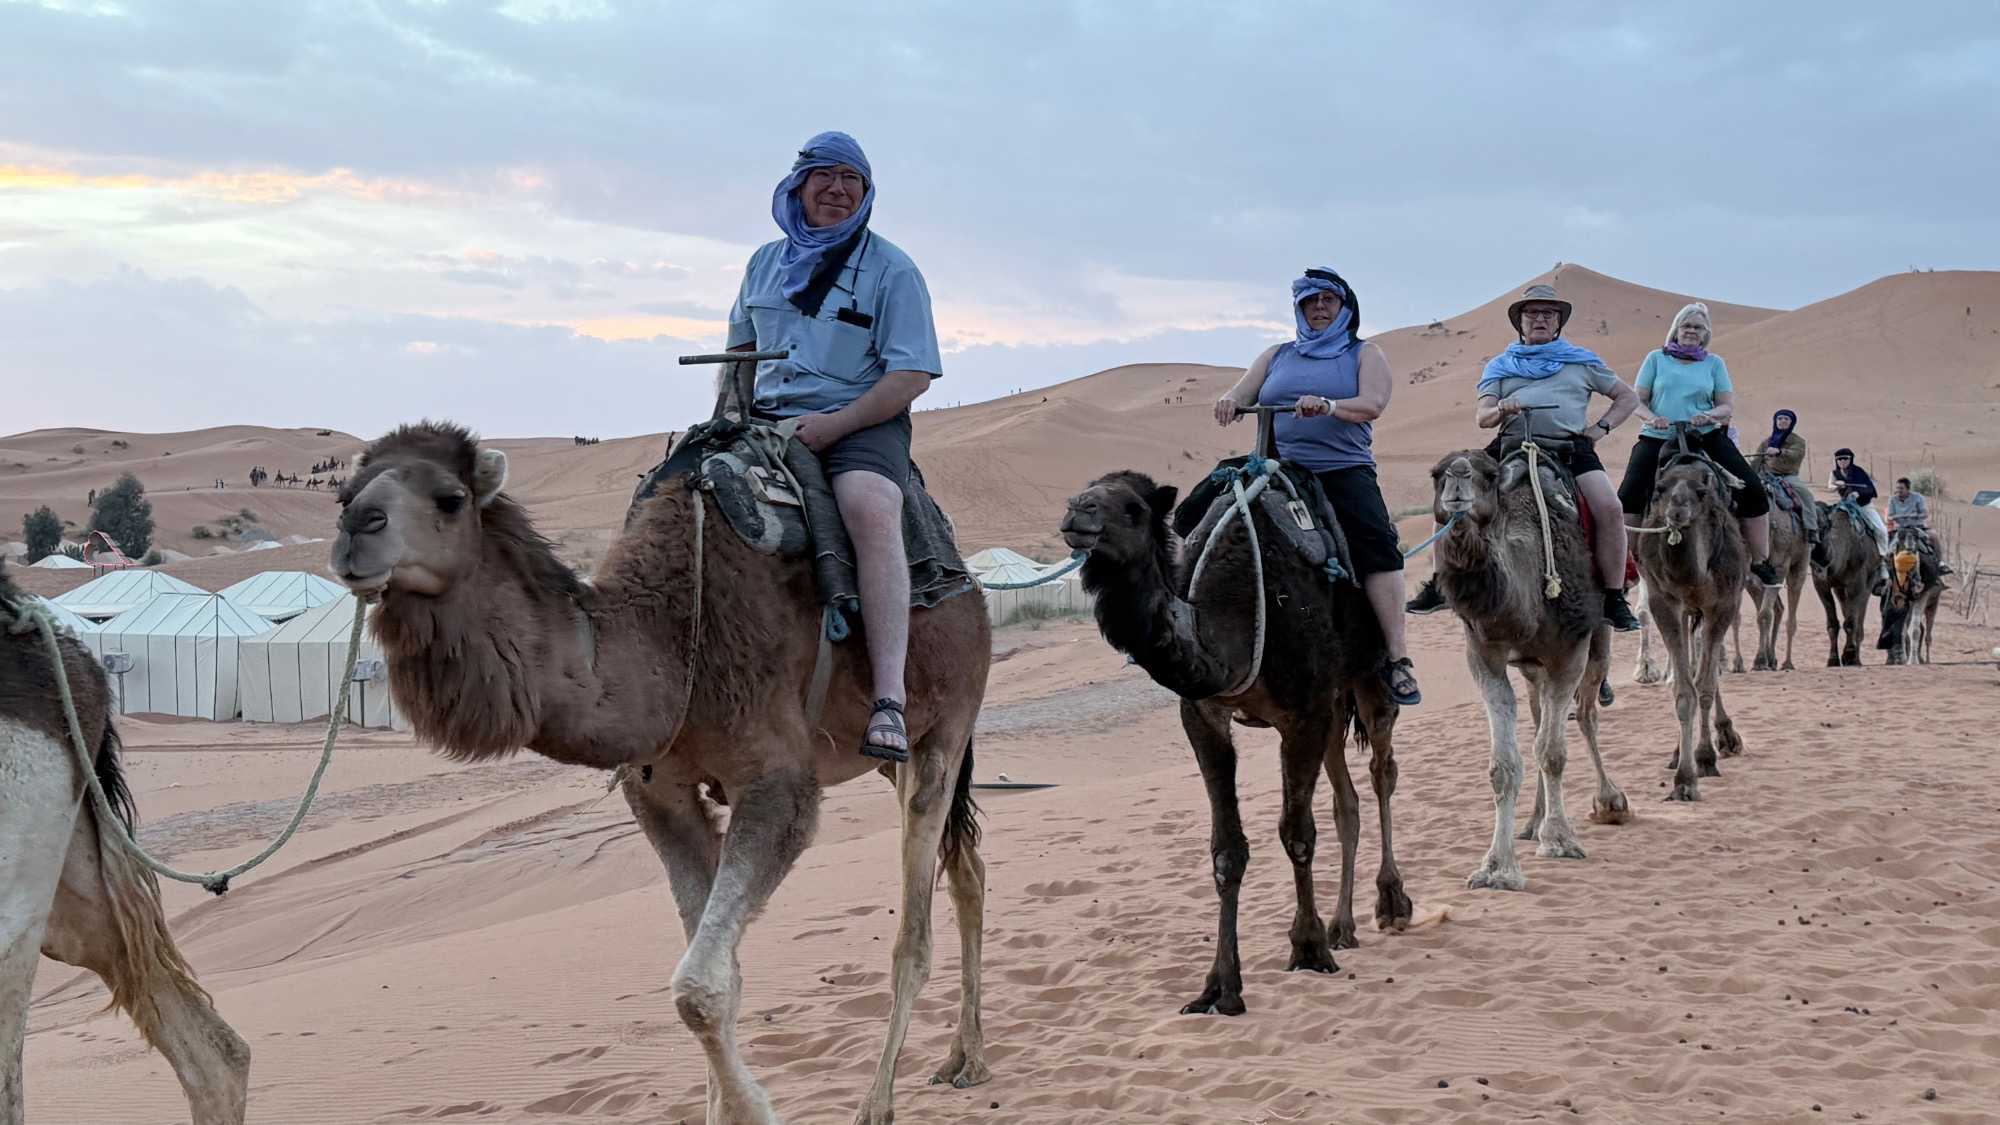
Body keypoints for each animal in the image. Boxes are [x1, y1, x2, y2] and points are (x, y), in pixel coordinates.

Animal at [329, 422, 991, 1125]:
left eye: (450, 499)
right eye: (345, 492)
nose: (356, 530)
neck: (673, 643)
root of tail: (971, 588)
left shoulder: (778, 784)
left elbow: (698, 987)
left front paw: (755, 1111)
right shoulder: (660, 793)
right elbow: (723, 976)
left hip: (946, 722)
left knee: (914, 929)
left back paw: (879, 1101)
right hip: (890, 761)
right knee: (967, 867)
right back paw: (965, 1059)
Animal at [1060, 469, 1406, 1016]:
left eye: (1134, 508)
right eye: (1089, 490)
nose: (1079, 512)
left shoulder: (1302, 712)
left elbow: (1297, 833)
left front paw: (1308, 948)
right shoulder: (1204, 715)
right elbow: (1227, 849)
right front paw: (1220, 986)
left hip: (1368, 673)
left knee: (1381, 772)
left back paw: (1391, 902)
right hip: (1332, 706)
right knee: (1346, 802)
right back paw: (1343, 925)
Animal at [1429, 450, 1630, 892]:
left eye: (1488, 475)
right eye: (1435, 474)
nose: (1457, 477)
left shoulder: (1569, 652)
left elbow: (1552, 751)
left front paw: (1559, 841)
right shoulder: (1484, 655)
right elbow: (1503, 764)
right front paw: (1497, 868)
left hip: (1598, 640)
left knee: (1586, 716)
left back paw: (1610, 801)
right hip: (1531, 669)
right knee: (1540, 717)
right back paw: (1533, 821)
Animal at [1633, 458, 1746, 803]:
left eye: (1700, 492)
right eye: (1659, 489)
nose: (1677, 511)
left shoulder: (1722, 604)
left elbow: (1706, 686)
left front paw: (1705, 758)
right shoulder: (1666, 604)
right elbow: (1684, 691)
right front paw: (1684, 778)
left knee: (1708, 673)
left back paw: (1725, 737)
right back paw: (1677, 752)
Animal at [1813, 499, 1877, 667]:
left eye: (1826, 525)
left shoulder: (1856, 584)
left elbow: (1851, 623)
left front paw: (1849, 656)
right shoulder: (1821, 584)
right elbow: (1832, 624)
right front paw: (1833, 659)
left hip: (1868, 583)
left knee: (1859, 618)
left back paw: (1856, 659)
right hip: (1840, 590)